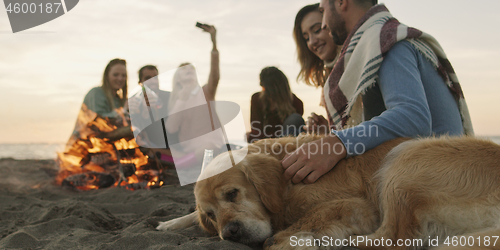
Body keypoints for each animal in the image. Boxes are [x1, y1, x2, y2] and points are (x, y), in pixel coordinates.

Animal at [158, 135, 500, 250]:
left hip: (405, 158)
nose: (229, 232)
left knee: (394, 239)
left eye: (233, 194)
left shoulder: (358, 206)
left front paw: (292, 239)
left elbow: (287, 231)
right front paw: (169, 223)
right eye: (210, 216)